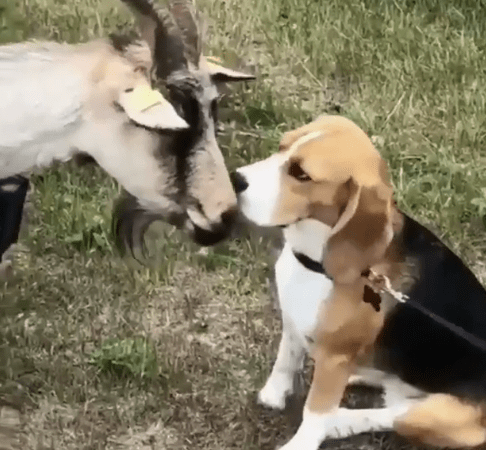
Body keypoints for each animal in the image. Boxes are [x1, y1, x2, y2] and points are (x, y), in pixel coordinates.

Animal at [231, 115, 486, 450]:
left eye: (301, 173)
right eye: (281, 147)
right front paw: (273, 394)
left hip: (439, 416)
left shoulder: (335, 358)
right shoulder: (293, 319)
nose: (235, 179)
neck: (315, 263)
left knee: (392, 414)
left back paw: (339, 421)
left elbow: (315, 411)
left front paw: (302, 442)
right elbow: (286, 357)